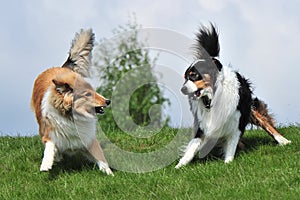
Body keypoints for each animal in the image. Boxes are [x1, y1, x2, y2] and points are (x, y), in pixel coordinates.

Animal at [30, 28, 112, 175]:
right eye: (87, 94)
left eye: (94, 91)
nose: (108, 101)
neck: (72, 116)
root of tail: (60, 68)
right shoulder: (49, 132)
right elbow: (50, 146)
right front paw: (46, 164)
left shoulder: (89, 139)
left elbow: (100, 158)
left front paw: (110, 173)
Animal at [176, 23, 290, 169]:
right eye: (185, 78)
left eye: (194, 75)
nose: (183, 89)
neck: (212, 97)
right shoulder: (204, 124)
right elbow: (192, 146)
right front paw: (179, 165)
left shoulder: (236, 119)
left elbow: (231, 144)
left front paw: (228, 163)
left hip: (249, 107)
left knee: (265, 121)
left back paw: (283, 140)